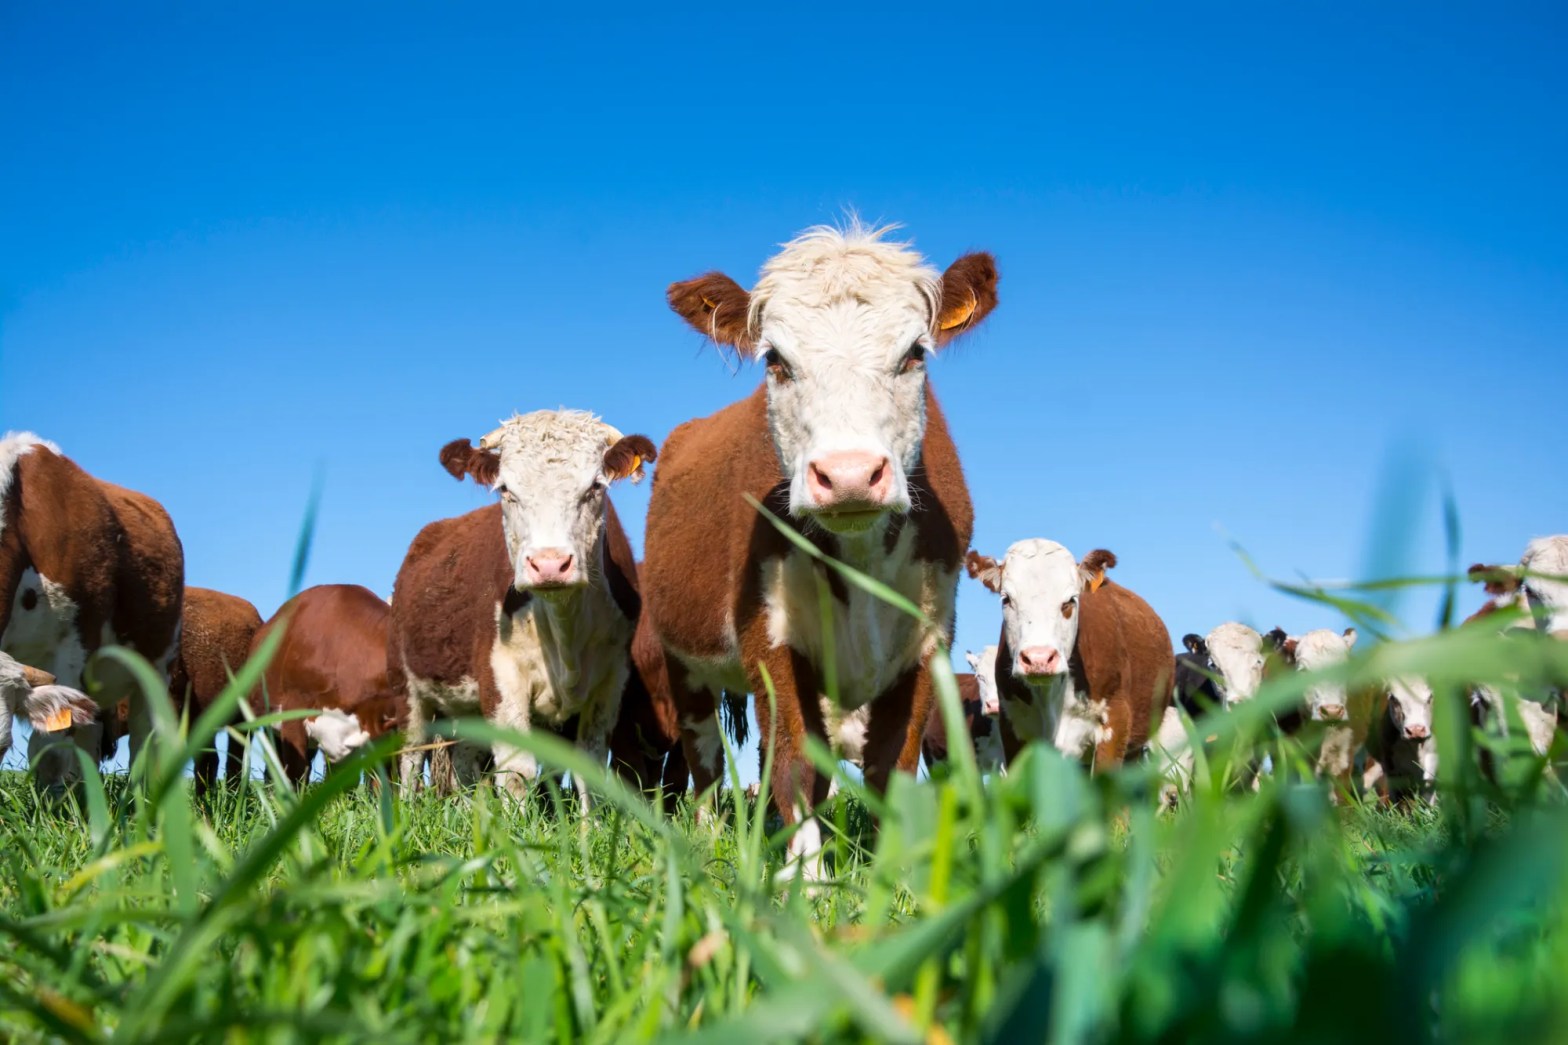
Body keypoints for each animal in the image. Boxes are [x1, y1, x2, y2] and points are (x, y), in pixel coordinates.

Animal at [389, 410, 655, 807]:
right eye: (505, 490)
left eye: (595, 486)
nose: (549, 564)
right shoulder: (501, 677)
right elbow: (517, 773)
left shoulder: (611, 682)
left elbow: (588, 771)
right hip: (407, 689)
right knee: (410, 756)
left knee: (464, 762)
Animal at [643, 223, 996, 880]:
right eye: (776, 361)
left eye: (914, 353)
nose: (850, 474)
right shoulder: (768, 635)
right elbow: (795, 764)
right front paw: (805, 881)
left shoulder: (928, 638)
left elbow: (891, 767)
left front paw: (890, 880)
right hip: (683, 658)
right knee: (703, 758)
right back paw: (708, 839)